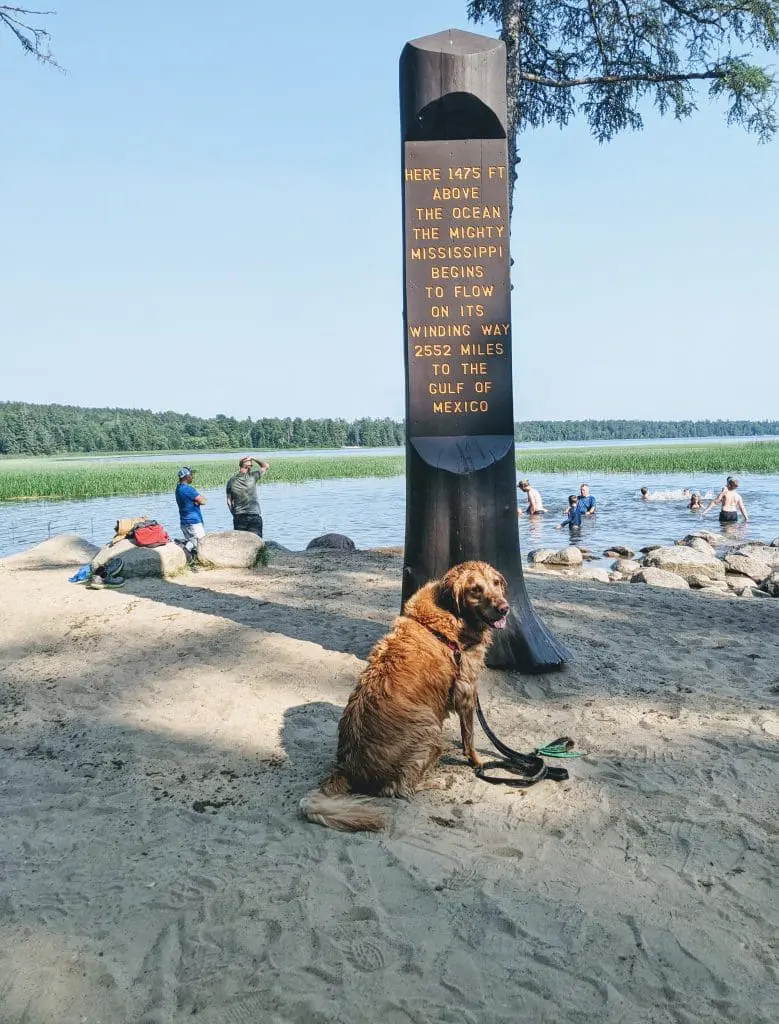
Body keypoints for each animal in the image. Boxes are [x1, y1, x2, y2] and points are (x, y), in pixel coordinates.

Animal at [298, 561, 509, 831]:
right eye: (475, 589)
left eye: (496, 583)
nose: (504, 608)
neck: (450, 614)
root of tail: (347, 768)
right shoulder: (466, 689)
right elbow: (470, 736)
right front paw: (476, 761)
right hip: (429, 731)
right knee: (398, 789)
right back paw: (434, 782)